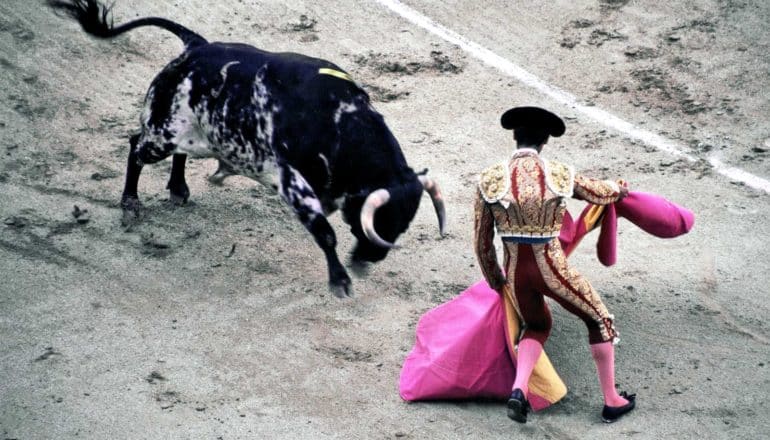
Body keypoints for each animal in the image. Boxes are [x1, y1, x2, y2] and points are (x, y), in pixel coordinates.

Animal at [51, 1, 448, 298]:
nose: (373, 258)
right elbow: (325, 232)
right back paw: (130, 203)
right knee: (136, 146)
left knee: (178, 153)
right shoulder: (292, 183)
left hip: (193, 134)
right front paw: (340, 282)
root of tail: (196, 46)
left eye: (402, 224)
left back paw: (178, 189)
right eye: (380, 220)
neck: (340, 123)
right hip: (161, 135)